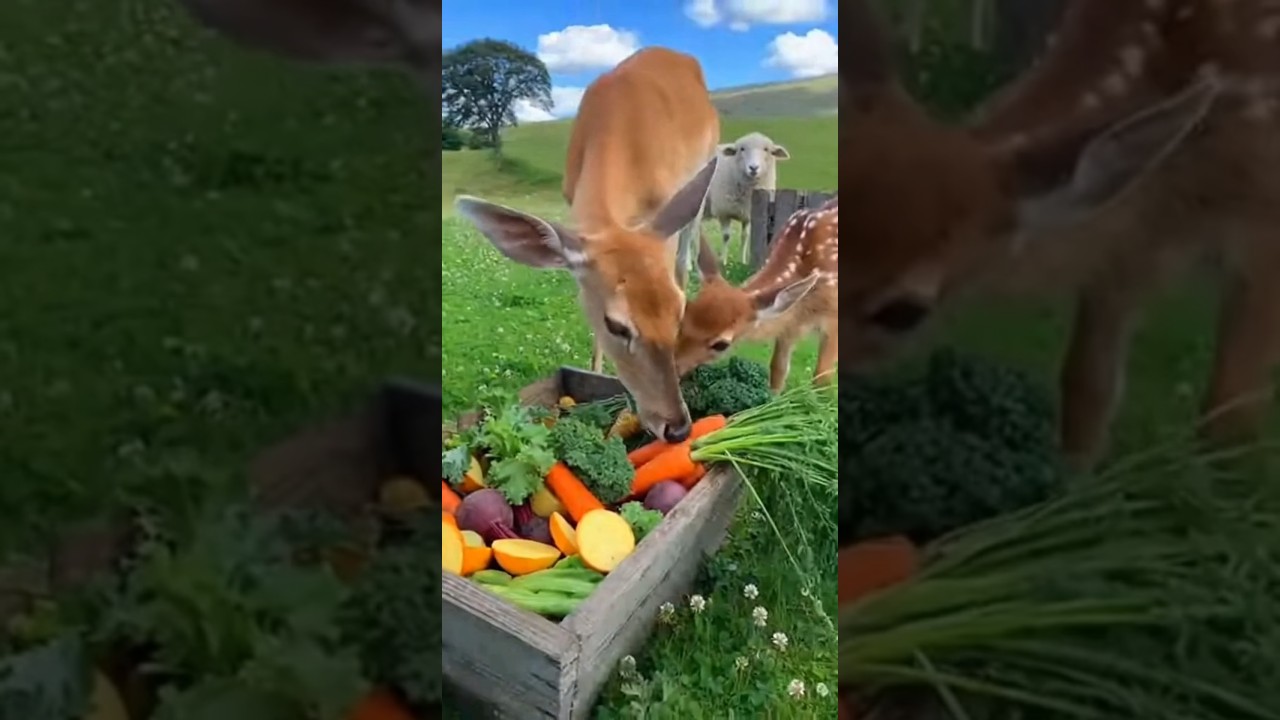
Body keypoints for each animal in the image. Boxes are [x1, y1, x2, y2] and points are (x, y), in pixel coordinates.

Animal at [456, 48, 720, 444]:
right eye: (616, 325)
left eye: (679, 312)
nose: (677, 428)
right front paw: (595, 369)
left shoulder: (664, 207)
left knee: (686, 258)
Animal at [676, 198, 838, 393]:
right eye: (683, 319)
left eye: (721, 344)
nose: (674, 367)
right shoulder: (790, 323)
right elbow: (778, 369)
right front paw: (773, 397)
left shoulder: (834, 318)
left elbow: (822, 378)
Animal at [702, 132, 790, 266]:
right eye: (742, 149)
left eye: (766, 149)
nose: (753, 168)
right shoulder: (723, 212)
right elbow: (726, 236)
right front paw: (723, 261)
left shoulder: (748, 214)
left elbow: (745, 236)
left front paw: (743, 261)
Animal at [838, 0, 1280, 470]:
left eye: (902, 312)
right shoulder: (1128, 245)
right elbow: (1087, 385)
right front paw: (1072, 478)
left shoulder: (1265, 224)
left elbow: (1229, 415)